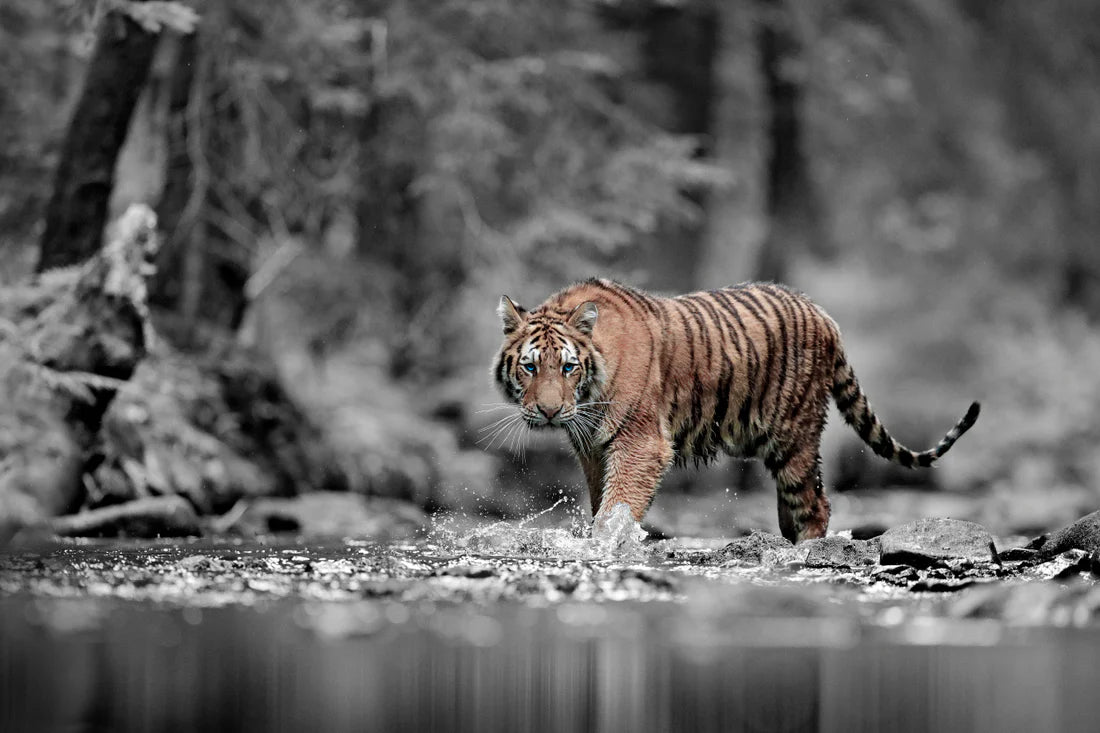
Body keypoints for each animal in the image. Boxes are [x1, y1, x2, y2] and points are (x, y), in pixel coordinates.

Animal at [491, 278, 980, 543]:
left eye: (568, 367)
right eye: (530, 367)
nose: (550, 412)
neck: (589, 396)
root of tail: (823, 314)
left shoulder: (640, 444)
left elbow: (617, 506)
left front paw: (606, 545)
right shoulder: (593, 449)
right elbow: (601, 503)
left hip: (794, 437)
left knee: (815, 504)